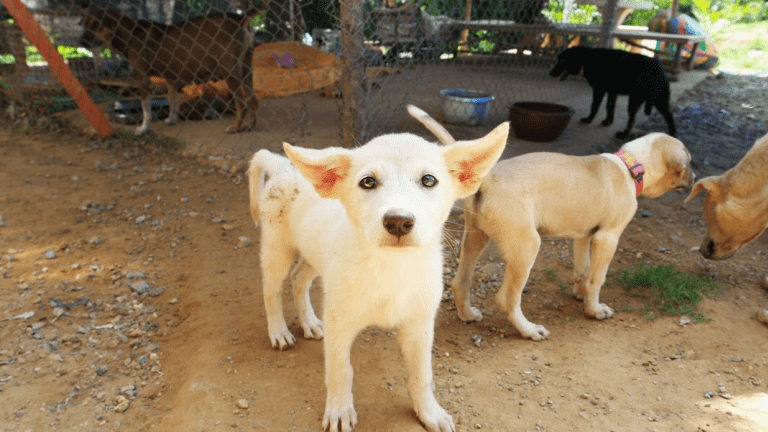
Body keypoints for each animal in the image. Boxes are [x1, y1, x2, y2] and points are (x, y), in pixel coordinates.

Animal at [81, 7, 260, 135]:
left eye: (94, 25)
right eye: (85, 24)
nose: (80, 42)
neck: (130, 33)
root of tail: (240, 18)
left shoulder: (142, 78)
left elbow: (146, 108)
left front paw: (143, 128)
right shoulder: (171, 79)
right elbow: (173, 101)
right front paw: (171, 120)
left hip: (230, 72)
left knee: (242, 104)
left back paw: (236, 128)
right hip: (246, 70)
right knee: (253, 100)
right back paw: (249, 126)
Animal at [248, 105, 510, 432]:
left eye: (429, 180)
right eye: (368, 182)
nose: (398, 221)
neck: (392, 270)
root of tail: (283, 165)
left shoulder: (420, 325)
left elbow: (422, 375)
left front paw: (430, 412)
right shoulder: (339, 323)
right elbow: (340, 370)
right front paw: (339, 411)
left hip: (313, 254)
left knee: (298, 280)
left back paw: (308, 322)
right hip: (277, 249)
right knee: (271, 291)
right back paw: (280, 332)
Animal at [450, 132, 696, 340]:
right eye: (690, 162)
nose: (695, 176)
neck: (629, 167)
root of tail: (488, 179)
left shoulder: (583, 236)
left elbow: (583, 270)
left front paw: (580, 294)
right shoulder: (607, 238)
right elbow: (597, 279)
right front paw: (594, 311)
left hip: (475, 239)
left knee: (460, 282)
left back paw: (468, 315)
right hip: (526, 246)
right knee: (507, 299)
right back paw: (529, 330)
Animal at [548, 47, 676, 138]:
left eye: (562, 61)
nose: (550, 73)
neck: (587, 58)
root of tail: (659, 69)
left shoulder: (599, 90)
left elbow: (594, 106)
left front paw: (588, 120)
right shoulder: (612, 92)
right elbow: (610, 107)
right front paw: (608, 122)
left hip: (635, 100)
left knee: (632, 119)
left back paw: (623, 135)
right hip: (659, 101)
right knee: (669, 114)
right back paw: (672, 134)